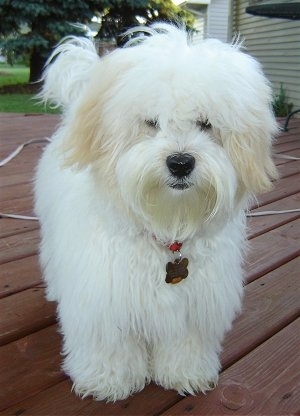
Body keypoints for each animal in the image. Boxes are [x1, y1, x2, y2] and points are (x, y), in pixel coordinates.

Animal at [35, 23, 278, 404]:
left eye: (205, 124)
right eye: (150, 122)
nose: (180, 162)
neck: (167, 226)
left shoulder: (194, 304)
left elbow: (185, 342)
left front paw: (185, 372)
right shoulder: (104, 298)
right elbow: (109, 343)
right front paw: (108, 378)